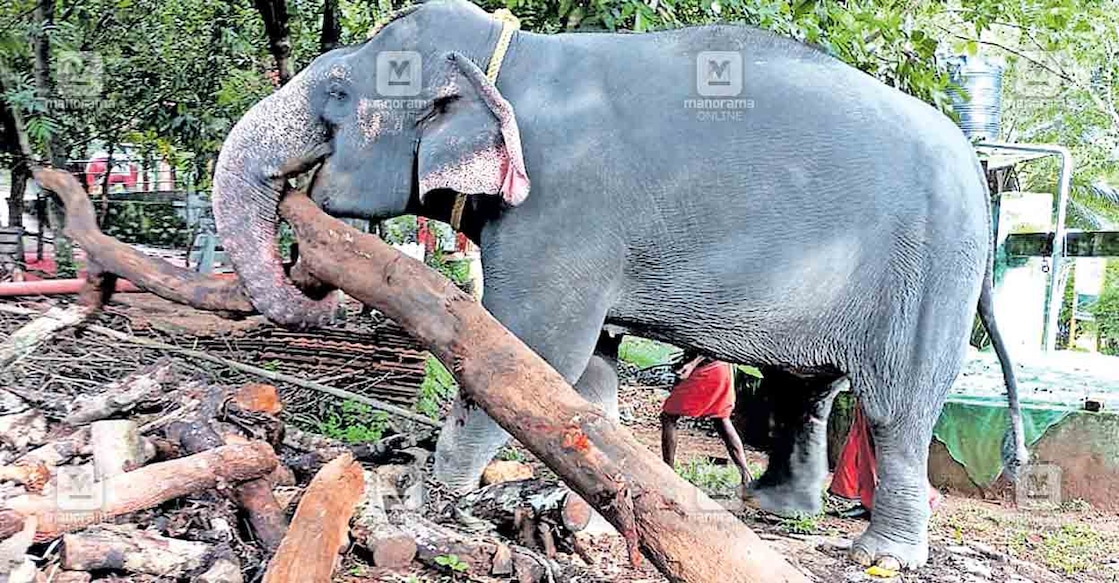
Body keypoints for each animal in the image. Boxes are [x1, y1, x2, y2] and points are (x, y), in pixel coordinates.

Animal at [205, 0, 1025, 566]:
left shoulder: (562, 203)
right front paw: (588, 507)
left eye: (340, 95)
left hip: (928, 272)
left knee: (894, 407)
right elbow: (585, 372)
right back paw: (773, 509)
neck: (512, 59)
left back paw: (881, 555)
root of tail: (977, 170)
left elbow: (530, 348)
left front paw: (440, 495)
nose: (301, 221)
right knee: (803, 388)